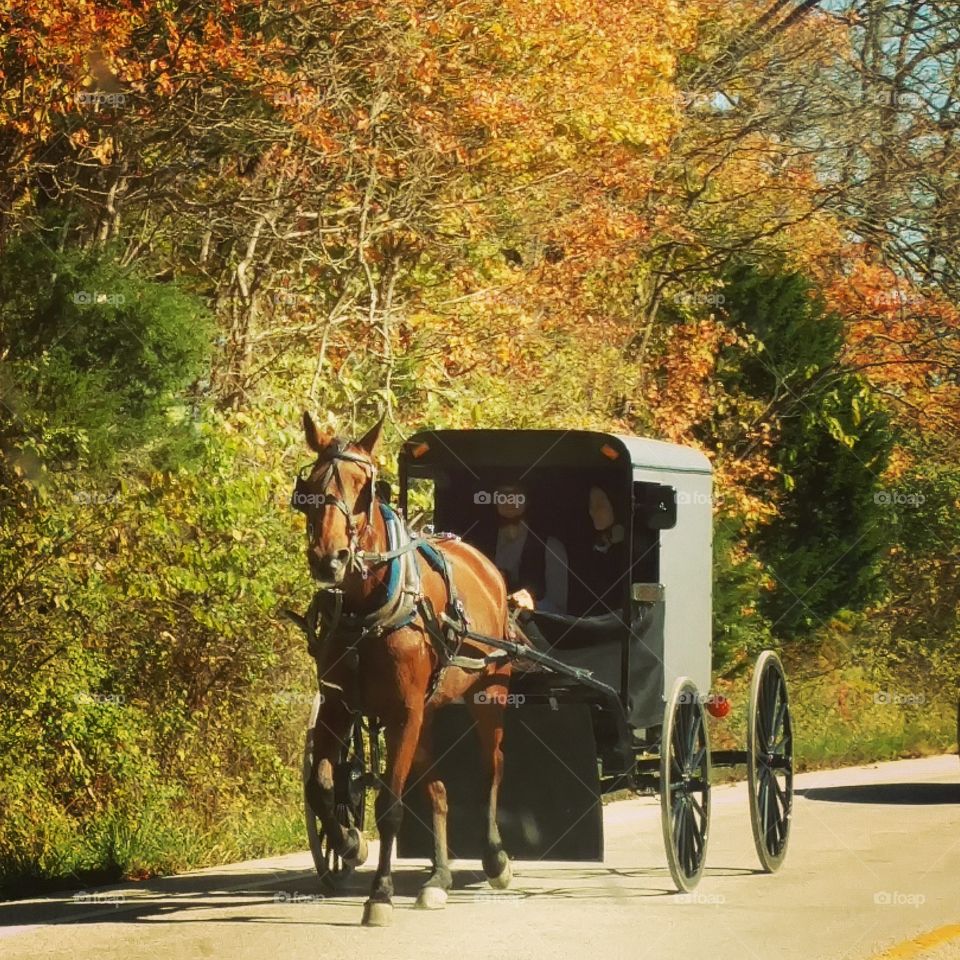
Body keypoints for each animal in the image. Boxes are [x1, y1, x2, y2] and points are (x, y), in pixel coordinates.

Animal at [293, 411, 517, 926]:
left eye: (366, 487)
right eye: (309, 487)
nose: (329, 558)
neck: (367, 609)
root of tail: (484, 563)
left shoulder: (403, 712)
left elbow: (390, 806)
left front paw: (379, 893)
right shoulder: (338, 706)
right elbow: (321, 785)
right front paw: (346, 842)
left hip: (487, 695)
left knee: (492, 768)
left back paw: (495, 859)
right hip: (427, 713)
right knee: (437, 790)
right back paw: (438, 878)